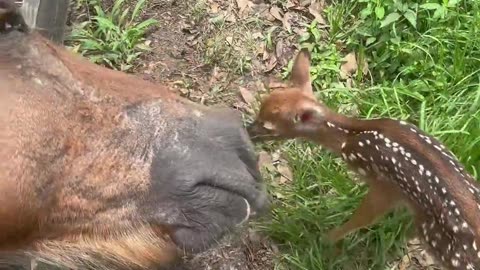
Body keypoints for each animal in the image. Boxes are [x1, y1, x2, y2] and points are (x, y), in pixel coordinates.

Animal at [248, 49, 480, 270]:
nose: (249, 132)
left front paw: (324, 240)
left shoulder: (384, 188)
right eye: (260, 108)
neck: (349, 137)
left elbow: (361, 219)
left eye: (268, 126)